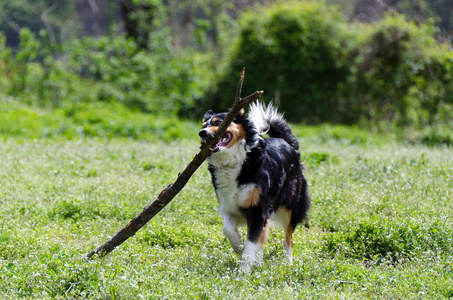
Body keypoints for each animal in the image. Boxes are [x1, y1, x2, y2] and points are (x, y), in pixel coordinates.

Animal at [200, 101, 308, 272]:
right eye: (204, 125)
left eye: (218, 123)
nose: (201, 133)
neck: (235, 163)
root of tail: (286, 142)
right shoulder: (228, 205)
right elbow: (228, 229)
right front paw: (238, 245)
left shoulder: (258, 209)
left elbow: (251, 245)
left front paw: (243, 273)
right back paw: (259, 262)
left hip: (291, 207)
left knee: (288, 239)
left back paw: (288, 264)